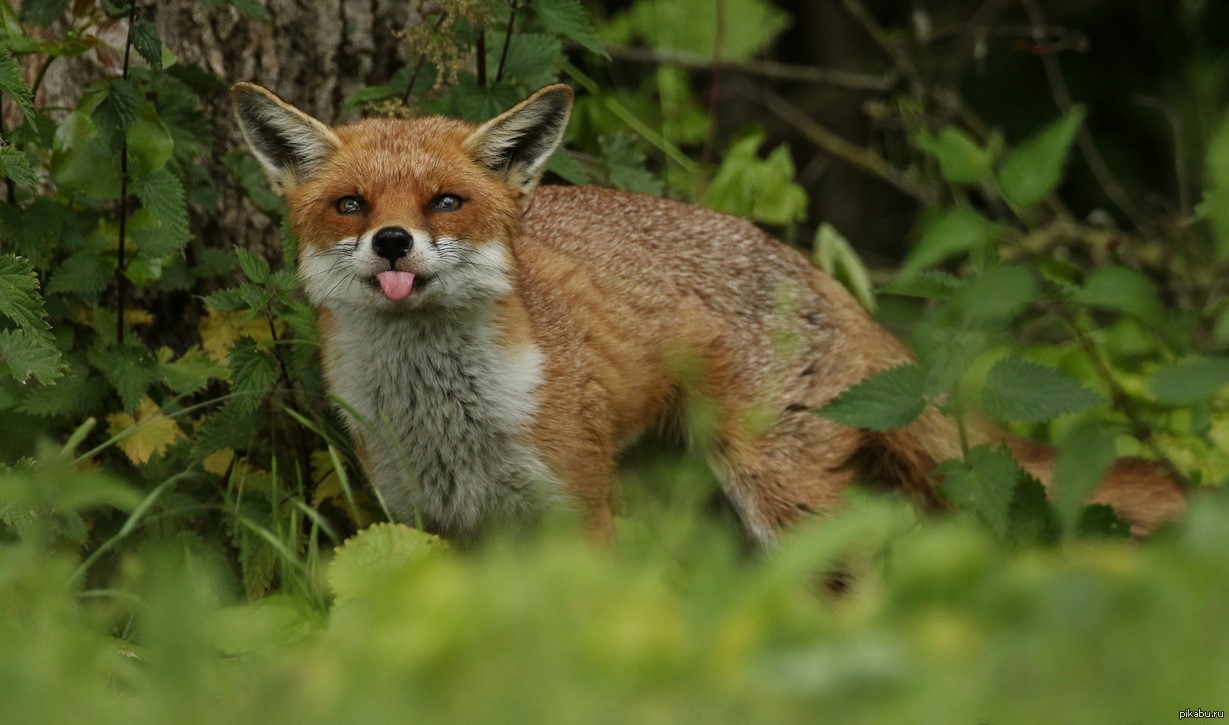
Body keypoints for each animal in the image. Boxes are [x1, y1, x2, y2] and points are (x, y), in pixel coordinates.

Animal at [232, 81, 1189, 545]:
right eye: (350, 206)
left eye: (445, 202)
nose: (393, 242)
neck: (443, 418)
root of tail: (808, 267)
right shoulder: (430, 523)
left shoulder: (576, 509)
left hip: (777, 491)